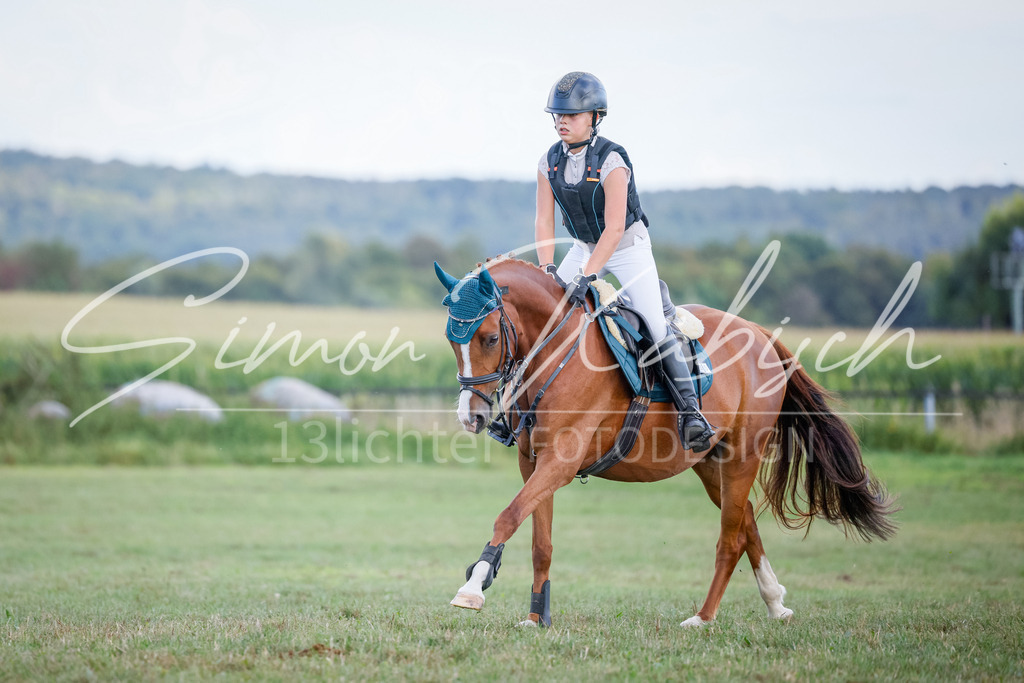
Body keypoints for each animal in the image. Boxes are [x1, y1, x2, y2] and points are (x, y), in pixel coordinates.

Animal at [434, 256, 896, 628]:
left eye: (491, 338)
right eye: (452, 341)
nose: (472, 417)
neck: (555, 352)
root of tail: (759, 333)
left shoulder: (559, 463)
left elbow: (508, 516)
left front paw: (473, 587)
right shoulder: (534, 463)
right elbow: (540, 543)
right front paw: (536, 618)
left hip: (743, 456)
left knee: (730, 538)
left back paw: (703, 618)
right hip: (709, 463)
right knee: (745, 519)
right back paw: (775, 602)